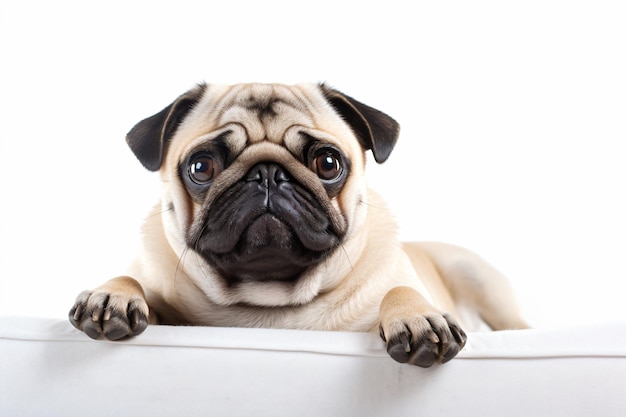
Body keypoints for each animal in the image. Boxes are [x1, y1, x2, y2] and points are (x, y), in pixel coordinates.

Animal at [69, 83, 528, 366]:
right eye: (201, 167)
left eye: (327, 163)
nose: (267, 174)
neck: (271, 300)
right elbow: (133, 279)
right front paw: (111, 295)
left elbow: (398, 290)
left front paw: (417, 316)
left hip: (477, 278)